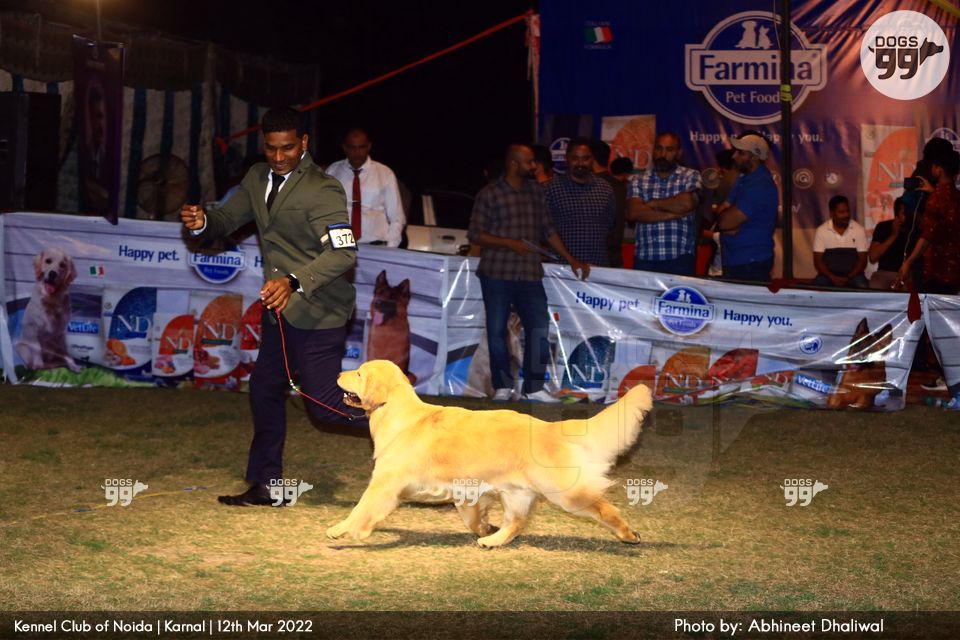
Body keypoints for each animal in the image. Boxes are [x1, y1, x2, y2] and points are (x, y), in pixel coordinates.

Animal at [328, 360, 653, 547]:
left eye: (359, 373)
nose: (339, 372)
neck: (398, 414)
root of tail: (549, 428)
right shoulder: (466, 492)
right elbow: (473, 519)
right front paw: (485, 529)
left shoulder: (384, 484)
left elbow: (361, 509)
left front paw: (342, 529)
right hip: (516, 493)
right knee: (517, 523)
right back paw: (493, 540)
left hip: (566, 494)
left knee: (606, 509)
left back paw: (628, 534)